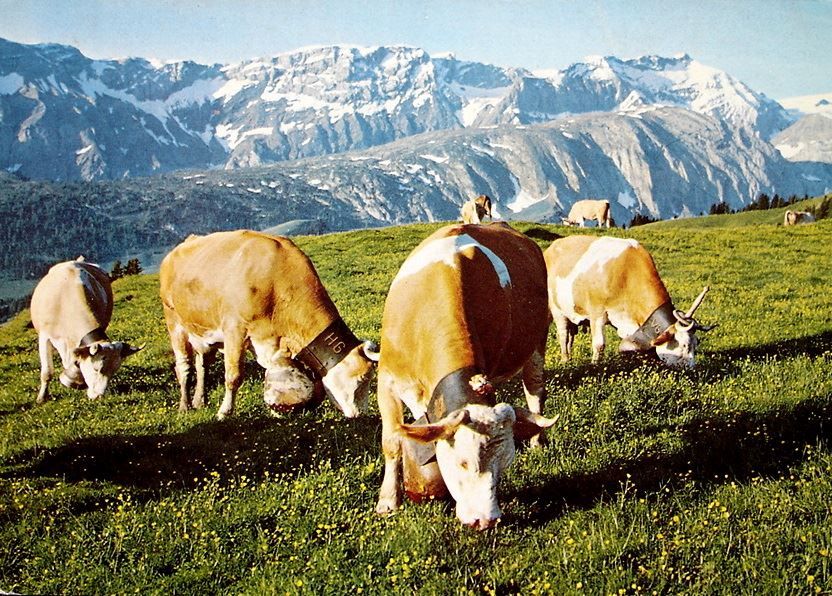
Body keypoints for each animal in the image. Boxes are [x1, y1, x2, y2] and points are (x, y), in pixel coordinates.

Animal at [30, 257, 142, 403]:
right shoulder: (44, 336)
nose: (98, 396)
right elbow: (47, 372)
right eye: (96, 368)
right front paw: (42, 398)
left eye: (113, 371)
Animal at [159, 230, 379, 420]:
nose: (360, 414)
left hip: (203, 331)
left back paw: (200, 401)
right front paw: (224, 413)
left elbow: (278, 378)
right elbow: (233, 376)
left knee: (202, 363)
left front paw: (275, 413)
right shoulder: (234, 330)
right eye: (362, 379)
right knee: (184, 367)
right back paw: (185, 406)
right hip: (174, 321)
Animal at [374, 222, 557, 530]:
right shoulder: (386, 379)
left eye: (504, 465)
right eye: (462, 462)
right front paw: (388, 501)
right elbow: (392, 442)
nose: (485, 521)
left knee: (535, 390)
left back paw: (536, 438)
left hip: (538, 339)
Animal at [544, 235, 713, 367]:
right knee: (563, 334)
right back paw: (565, 360)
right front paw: (595, 366)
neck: (626, 274)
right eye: (684, 345)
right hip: (556, 309)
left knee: (570, 334)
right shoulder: (597, 312)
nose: (692, 369)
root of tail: (551, 247)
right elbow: (599, 344)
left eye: (696, 343)